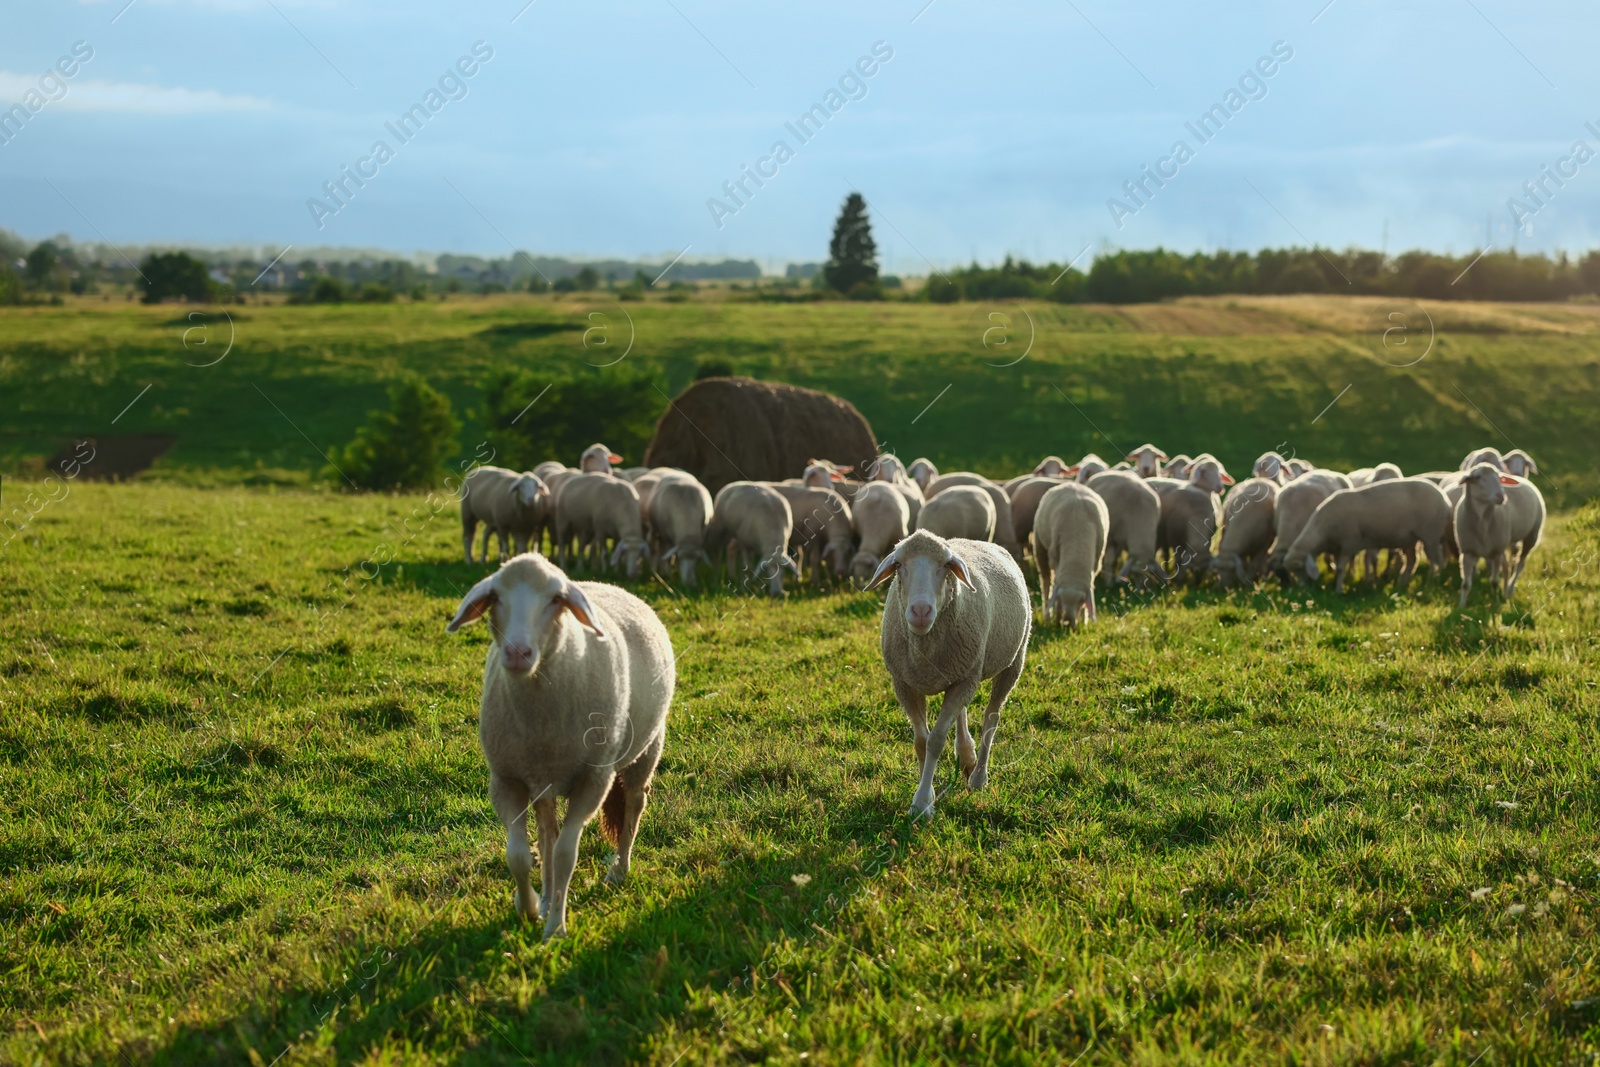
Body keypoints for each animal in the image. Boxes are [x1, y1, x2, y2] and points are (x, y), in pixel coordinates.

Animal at [448, 556, 672, 940]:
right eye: (496, 596)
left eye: (556, 598)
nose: (517, 653)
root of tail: (609, 585)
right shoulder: (506, 781)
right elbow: (519, 855)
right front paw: (529, 908)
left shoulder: (592, 782)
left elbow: (567, 854)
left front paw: (555, 929)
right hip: (544, 782)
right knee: (546, 834)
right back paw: (549, 896)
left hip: (646, 749)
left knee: (634, 804)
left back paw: (619, 871)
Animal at [870, 527, 1030, 819]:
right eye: (898, 565)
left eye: (946, 566)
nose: (921, 611)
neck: (924, 649)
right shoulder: (904, 684)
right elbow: (921, 741)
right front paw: (927, 793)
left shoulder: (965, 679)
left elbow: (934, 741)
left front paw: (922, 803)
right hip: (963, 670)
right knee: (962, 712)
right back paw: (966, 755)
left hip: (1012, 661)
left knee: (991, 718)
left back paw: (978, 777)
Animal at [1030, 483, 1107, 627]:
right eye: (1060, 599)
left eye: (1082, 601)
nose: (1068, 624)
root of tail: (1072, 484)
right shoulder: (1055, 557)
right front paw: (1057, 617)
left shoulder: (1096, 563)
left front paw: (1084, 620)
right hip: (1039, 546)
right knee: (1046, 582)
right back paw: (1047, 615)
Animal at [1280, 476, 1459, 591]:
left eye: (1299, 567)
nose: (1302, 591)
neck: (1324, 531)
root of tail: (1446, 502)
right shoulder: (1338, 547)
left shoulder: (1348, 543)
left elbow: (1340, 568)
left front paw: (1338, 590)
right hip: (1410, 538)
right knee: (1412, 560)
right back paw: (1402, 583)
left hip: (1430, 535)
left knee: (1436, 560)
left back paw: (1432, 581)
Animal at [1459, 463, 1542, 604]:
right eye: (1477, 477)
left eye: (1499, 478)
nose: (1501, 496)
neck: (1482, 525)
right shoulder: (1468, 552)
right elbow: (1465, 584)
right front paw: (1461, 606)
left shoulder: (1496, 553)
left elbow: (1494, 581)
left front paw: (1495, 602)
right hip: (1505, 542)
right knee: (1507, 566)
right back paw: (1505, 592)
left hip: (1531, 535)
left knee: (1519, 564)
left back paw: (1509, 589)